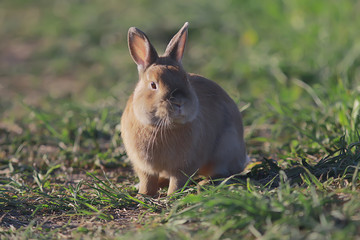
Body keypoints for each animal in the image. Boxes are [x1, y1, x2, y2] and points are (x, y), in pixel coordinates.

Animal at [121, 21, 250, 196]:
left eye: (186, 79)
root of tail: (242, 158)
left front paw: (171, 196)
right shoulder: (144, 167)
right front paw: (143, 194)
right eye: (153, 85)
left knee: (221, 173)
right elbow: (147, 181)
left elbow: (178, 181)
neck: (161, 127)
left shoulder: (184, 166)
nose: (179, 103)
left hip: (225, 149)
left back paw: (203, 184)